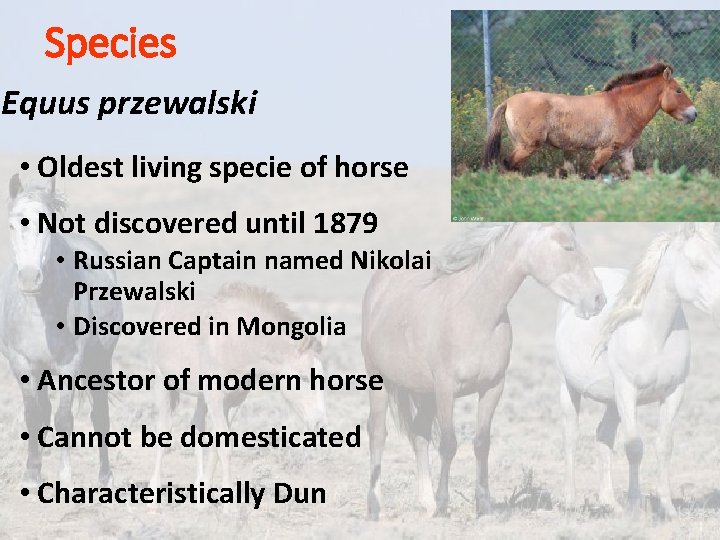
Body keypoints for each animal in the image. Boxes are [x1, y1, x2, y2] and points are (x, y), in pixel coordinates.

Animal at [0, 174, 123, 487]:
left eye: (48, 224)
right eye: (12, 225)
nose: (29, 278)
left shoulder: (70, 364)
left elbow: (64, 419)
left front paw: (65, 477)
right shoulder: (22, 364)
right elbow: (33, 416)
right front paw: (31, 475)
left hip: (99, 363)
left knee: (99, 415)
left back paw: (105, 477)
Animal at [149, 282, 327, 490]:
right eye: (304, 377)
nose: (320, 422)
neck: (235, 343)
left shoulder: (232, 402)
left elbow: (217, 447)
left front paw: (206, 490)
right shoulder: (216, 399)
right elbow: (223, 448)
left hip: (201, 397)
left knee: (197, 425)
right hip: (162, 382)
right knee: (164, 427)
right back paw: (154, 483)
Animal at [361, 223, 606, 520]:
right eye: (567, 247)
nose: (598, 298)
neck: (474, 313)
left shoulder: (492, 387)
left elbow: (481, 443)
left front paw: (483, 505)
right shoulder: (446, 389)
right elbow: (449, 444)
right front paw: (443, 505)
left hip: (424, 391)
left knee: (419, 434)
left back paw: (425, 503)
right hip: (381, 381)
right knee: (377, 433)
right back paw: (376, 506)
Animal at [483, 63, 697, 178]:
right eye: (678, 90)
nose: (694, 114)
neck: (623, 107)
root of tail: (508, 102)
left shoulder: (625, 152)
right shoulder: (604, 150)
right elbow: (592, 175)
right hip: (527, 146)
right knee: (508, 164)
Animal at [555, 223, 720, 518]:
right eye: (697, 264)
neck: (653, 335)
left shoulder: (674, 392)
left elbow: (664, 446)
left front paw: (667, 507)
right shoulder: (627, 390)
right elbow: (634, 447)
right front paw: (635, 504)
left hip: (612, 401)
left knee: (603, 435)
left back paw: (610, 503)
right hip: (569, 387)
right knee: (571, 436)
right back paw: (571, 501)